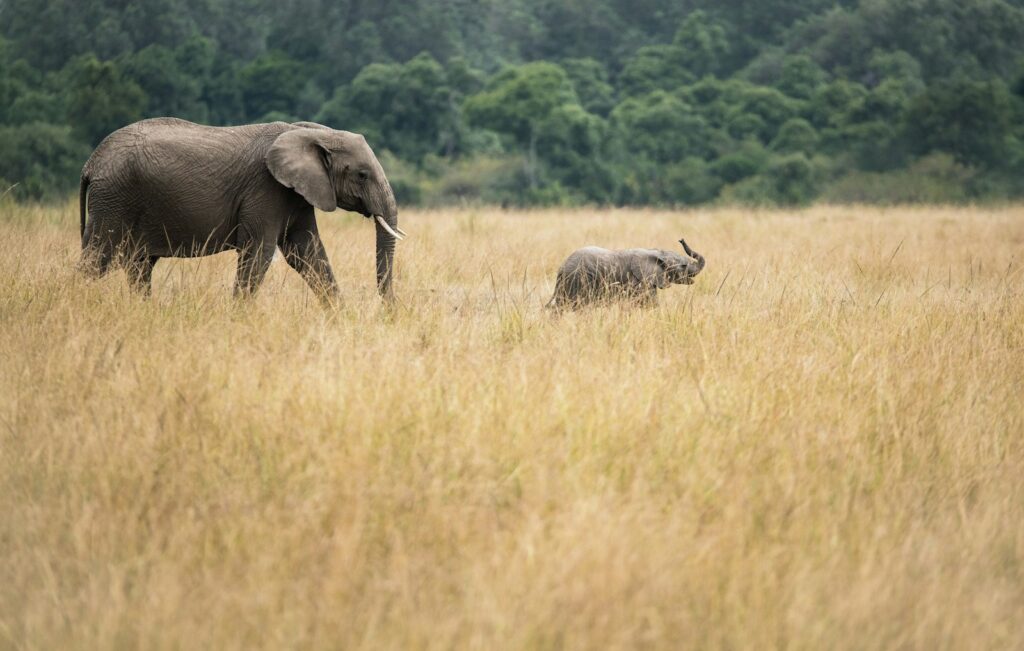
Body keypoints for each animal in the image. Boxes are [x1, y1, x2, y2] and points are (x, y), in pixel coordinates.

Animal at [78, 117, 405, 301]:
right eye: (362, 175)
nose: (387, 312)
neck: (310, 132)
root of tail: (91, 162)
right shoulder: (265, 189)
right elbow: (259, 253)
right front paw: (238, 318)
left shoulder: (296, 193)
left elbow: (307, 254)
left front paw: (339, 317)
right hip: (115, 199)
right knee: (97, 260)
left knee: (139, 266)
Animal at [547, 238, 705, 309]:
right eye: (683, 266)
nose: (681, 240)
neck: (656, 252)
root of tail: (561, 269)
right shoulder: (640, 282)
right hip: (579, 279)